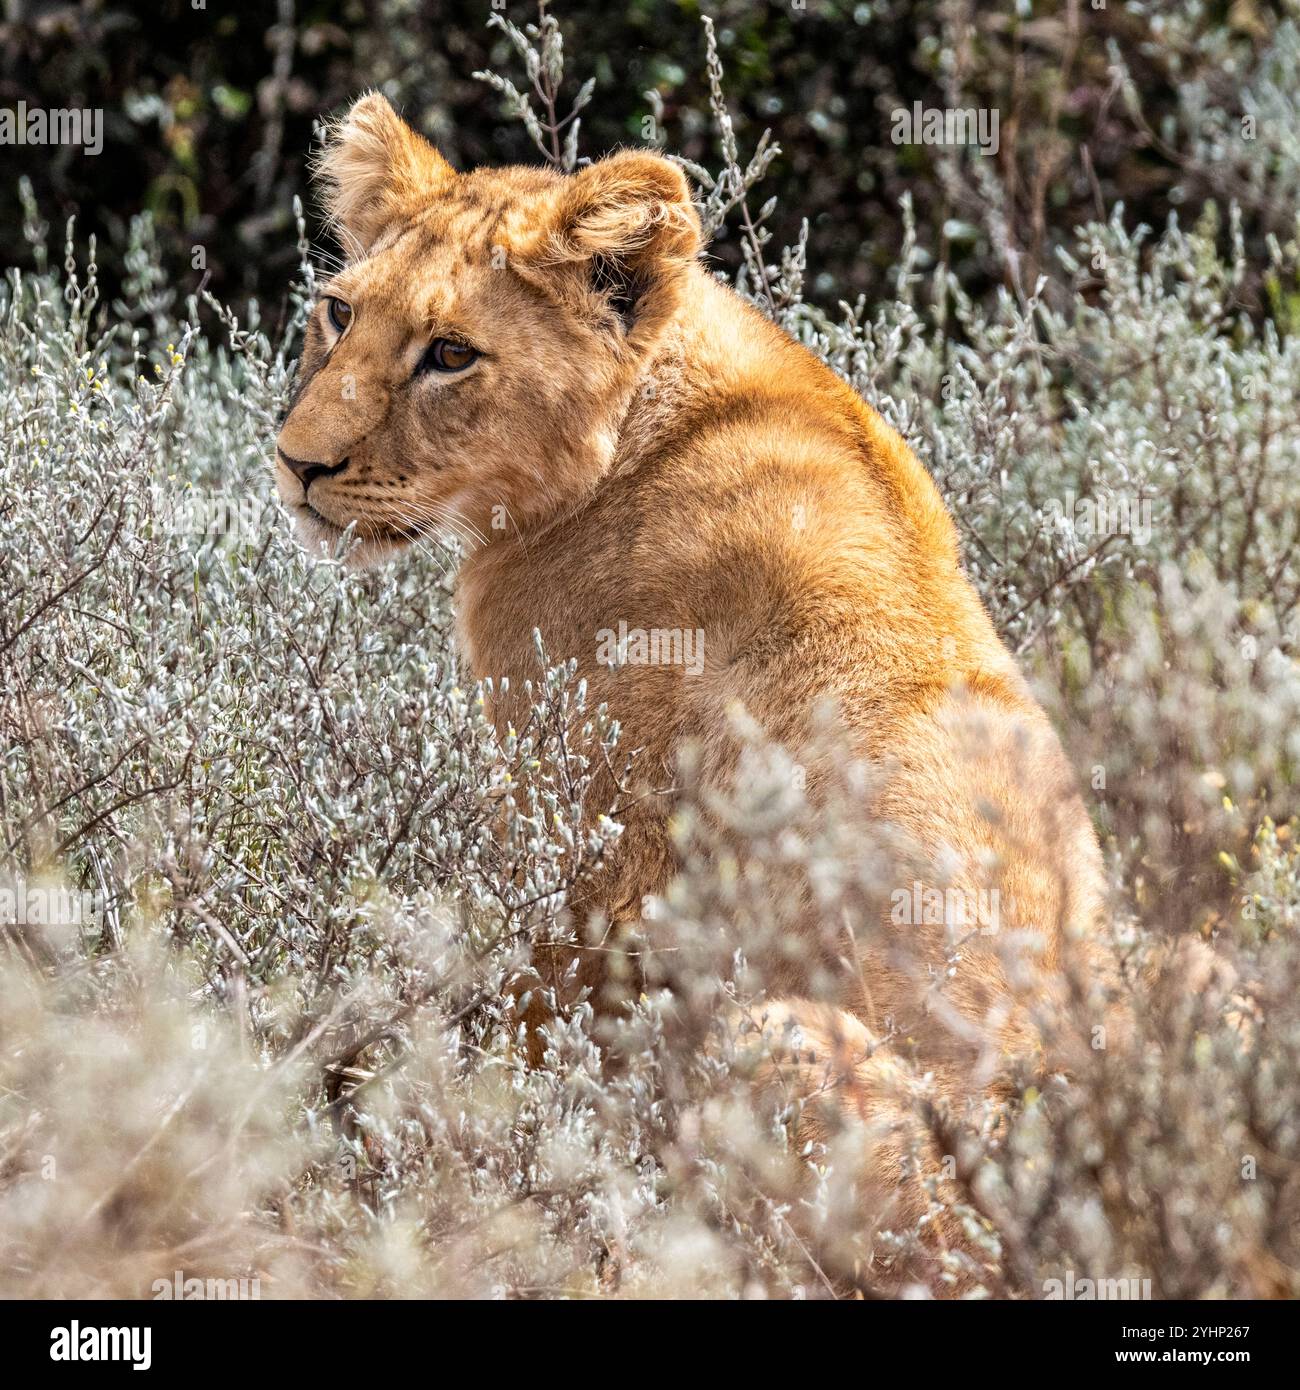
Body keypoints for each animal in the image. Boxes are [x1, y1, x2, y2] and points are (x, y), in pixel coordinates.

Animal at [275, 92, 1113, 1291]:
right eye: (337, 313)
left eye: (451, 355)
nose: (296, 464)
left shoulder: (590, 834)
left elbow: (527, 1025)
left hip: (775, 1043)